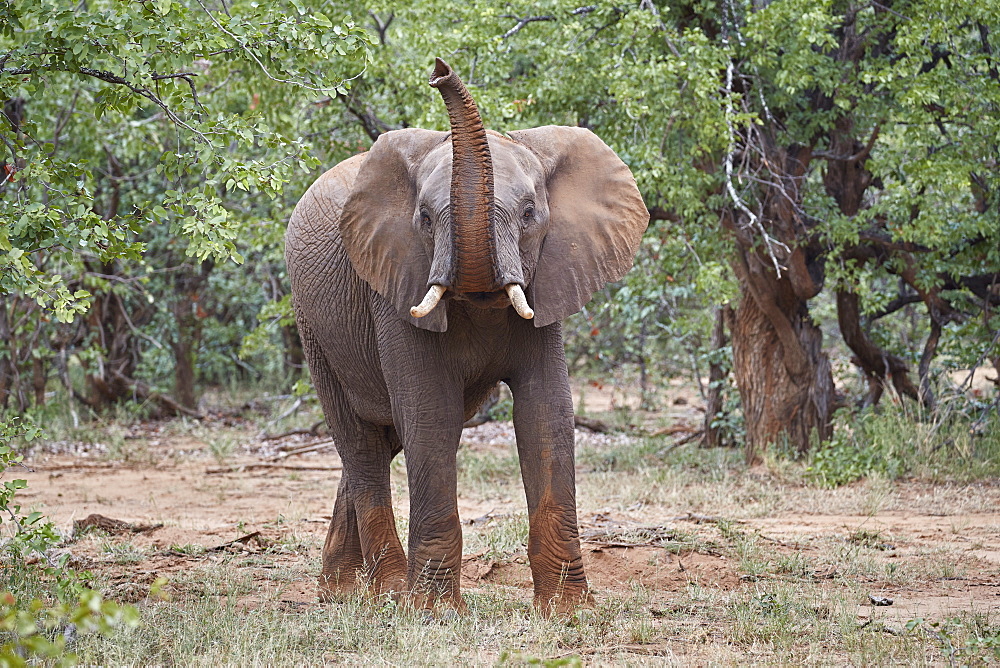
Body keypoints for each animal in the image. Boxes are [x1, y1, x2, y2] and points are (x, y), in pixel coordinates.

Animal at [288, 58, 648, 616]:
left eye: (529, 214)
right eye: (424, 218)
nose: (438, 70)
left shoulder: (549, 279)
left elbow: (545, 412)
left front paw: (568, 612)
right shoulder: (395, 284)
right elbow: (430, 415)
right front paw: (433, 613)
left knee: (382, 441)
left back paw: (341, 592)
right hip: (313, 324)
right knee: (362, 444)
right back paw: (385, 593)